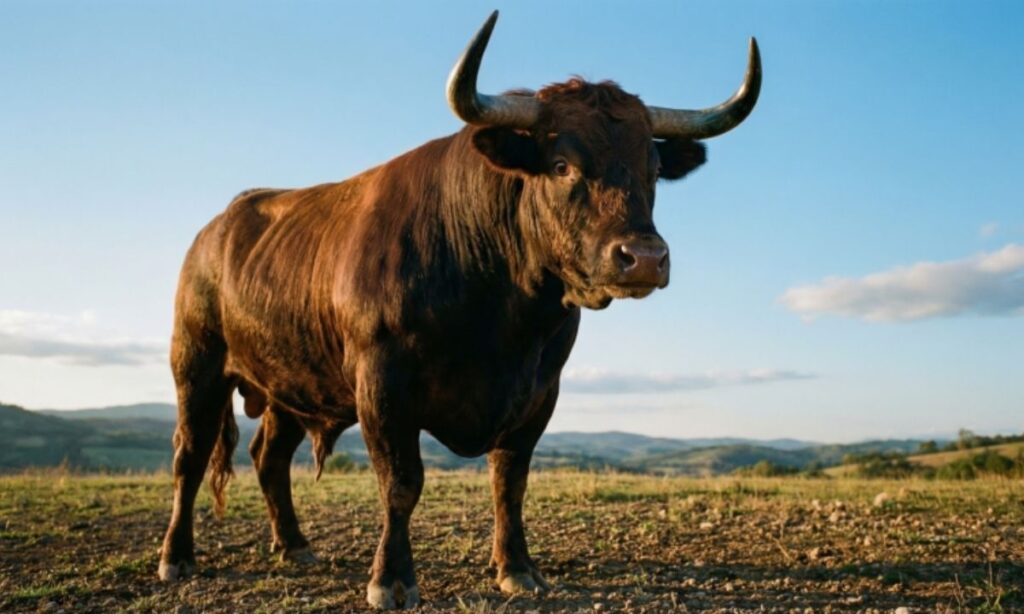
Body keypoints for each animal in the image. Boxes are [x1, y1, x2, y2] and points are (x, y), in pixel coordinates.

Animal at [157, 10, 761, 610]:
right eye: (562, 164)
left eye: (654, 169)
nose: (645, 258)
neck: (501, 316)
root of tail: (216, 228)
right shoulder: (383, 384)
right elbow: (401, 482)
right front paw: (392, 578)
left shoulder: (540, 391)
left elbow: (509, 481)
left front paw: (517, 567)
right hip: (197, 364)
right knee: (190, 455)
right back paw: (177, 556)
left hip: (289, 382)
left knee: (269, 457)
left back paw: (294, 545)